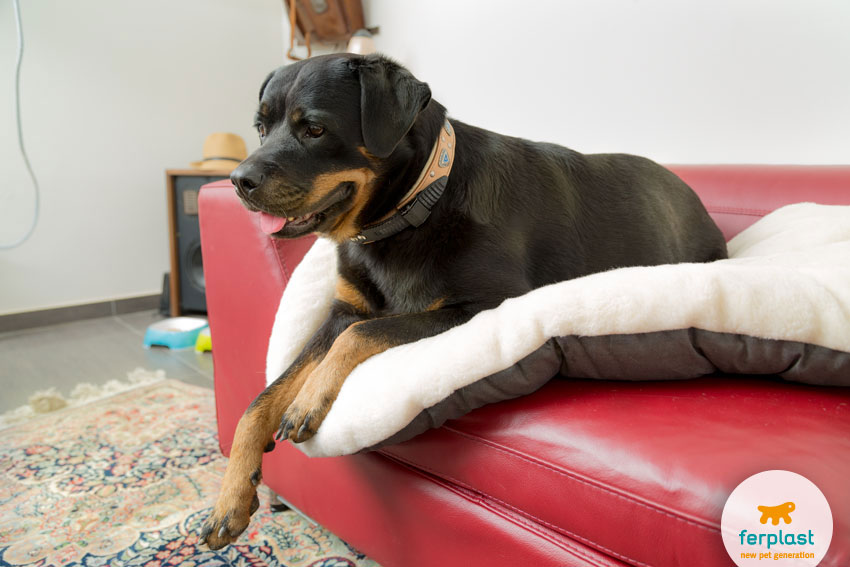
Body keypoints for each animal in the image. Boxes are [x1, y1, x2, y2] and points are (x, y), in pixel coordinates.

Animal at [197, 53, 724, 552]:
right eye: (261, 128)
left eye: (315, 129)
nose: (238, 180)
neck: (412, 210)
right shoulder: (343, 311)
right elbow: (258, 404)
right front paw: (231, 498)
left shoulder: (478, 305)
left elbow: (361, 335)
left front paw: (308, 398)